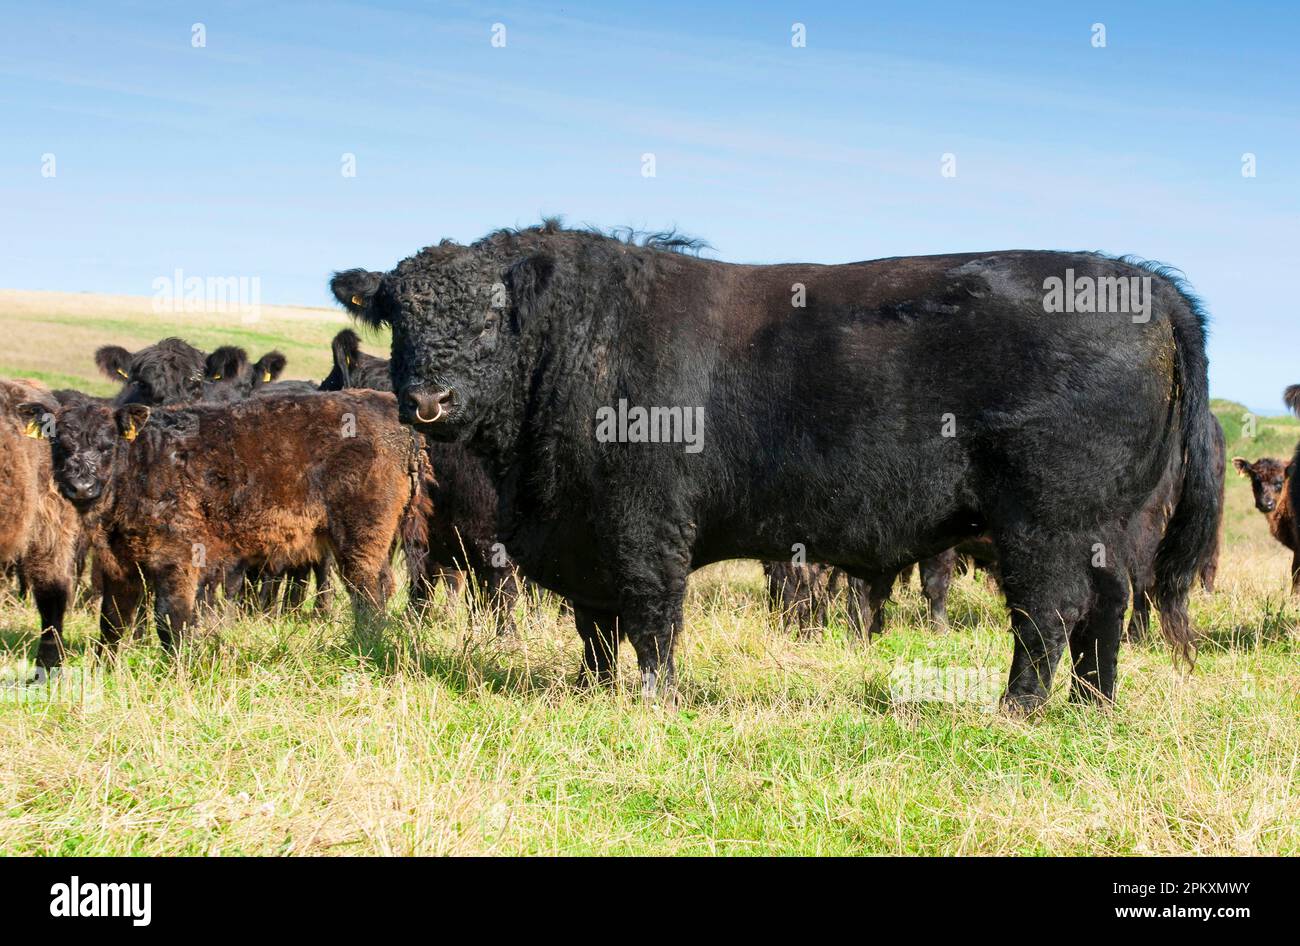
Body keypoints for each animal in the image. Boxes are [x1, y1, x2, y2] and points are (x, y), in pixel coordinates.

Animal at [17, 391, 426, 660]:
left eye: (106, 446)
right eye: (61, 444)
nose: (80, 485)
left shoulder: (178, 557)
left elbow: (172, 618)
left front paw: (177, 667)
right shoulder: (118, 561)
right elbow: (113, 620)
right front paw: (106, 667)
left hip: (360, 535)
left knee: (368, 591)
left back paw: (365, 645)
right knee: (382, 585)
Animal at [333, 222, 1219, 712]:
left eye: (491, 320)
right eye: (399, 316)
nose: (428, 398)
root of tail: (1147, 285)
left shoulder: (642, 526)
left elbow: (649, 619)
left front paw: (654, 701)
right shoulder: (581, 535)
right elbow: (595, 627)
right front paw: (589, 690)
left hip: (1044, 523)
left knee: (1049, 612)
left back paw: (1019, 708)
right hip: (1103, 525)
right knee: (1107, 607)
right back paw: (1094, 706)